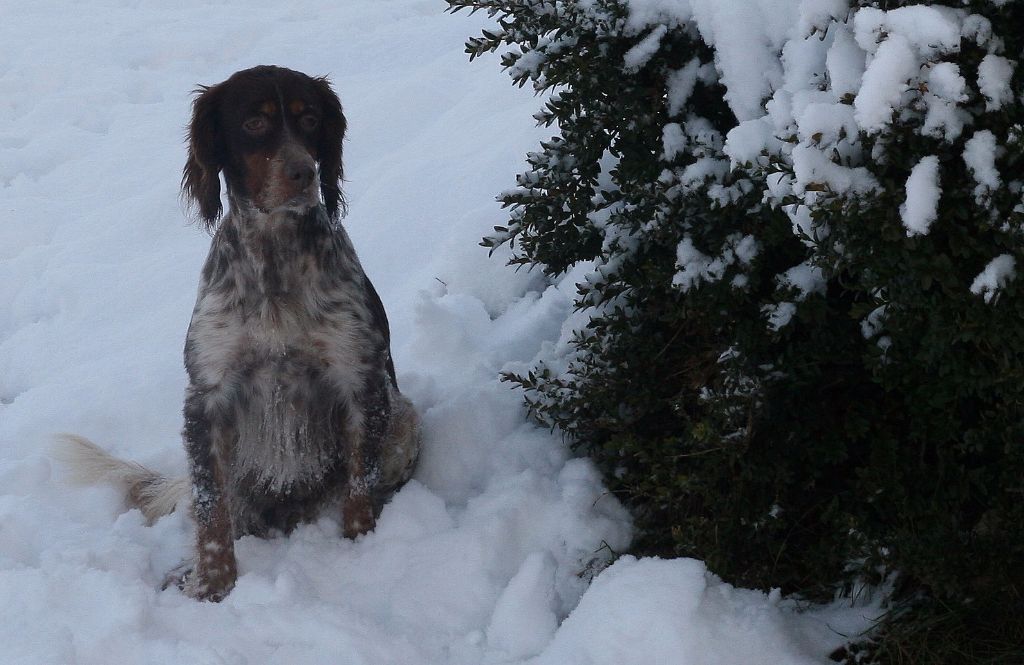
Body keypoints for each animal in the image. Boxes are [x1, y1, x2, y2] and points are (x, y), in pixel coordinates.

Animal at [58, 66, 419, 602]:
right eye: (254, 123)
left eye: (310, 119)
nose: (305, 172)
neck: (274, 259)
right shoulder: (207, 397)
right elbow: (212, 514)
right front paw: (212, 586)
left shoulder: (361, 380)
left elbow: (360, 487)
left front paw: (360, 549)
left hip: (405, 419)